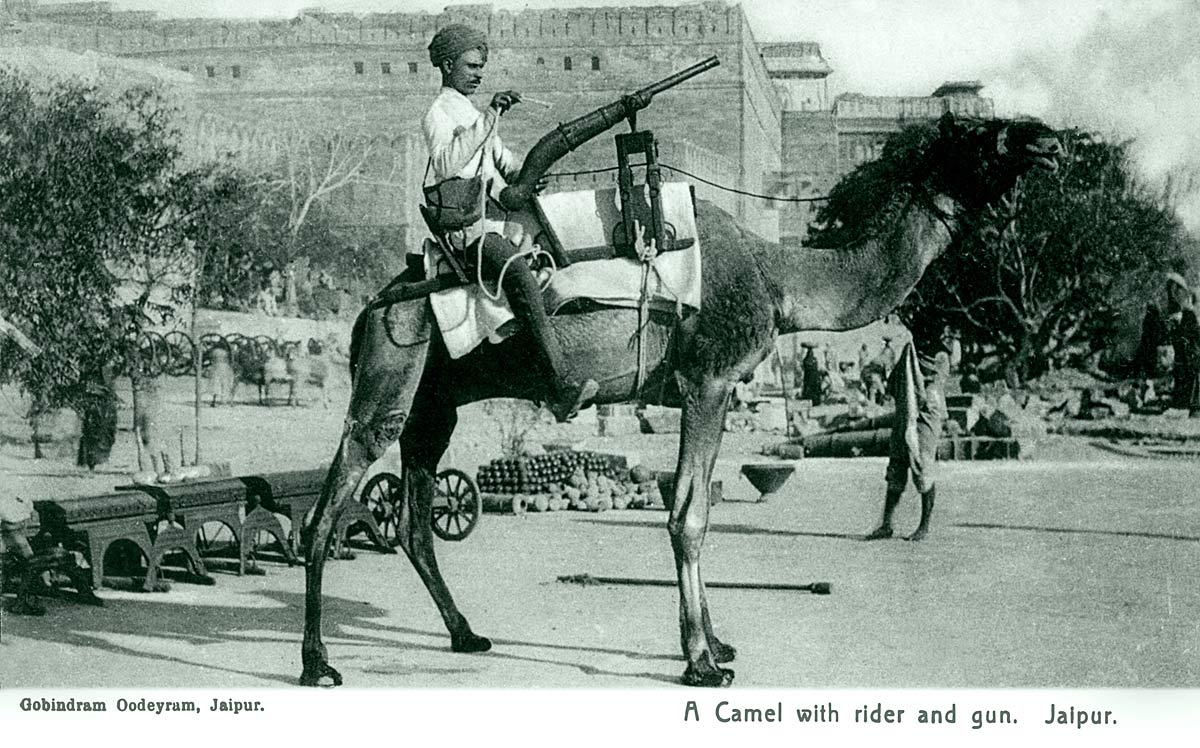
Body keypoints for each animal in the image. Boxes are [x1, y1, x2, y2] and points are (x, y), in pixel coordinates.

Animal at [297, 112, 1060, 691]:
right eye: (980, 134)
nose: (1048, 141)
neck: (776, 276)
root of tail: (368, 308)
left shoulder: (710, 390)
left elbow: (699, 511)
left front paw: (717, 645)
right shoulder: (708, 382)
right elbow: (688, 517)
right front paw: (701, 662)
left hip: (436, 400)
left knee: (415, 518)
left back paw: (466, 635)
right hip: (393, 367)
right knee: (329, 506)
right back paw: (318, 664)